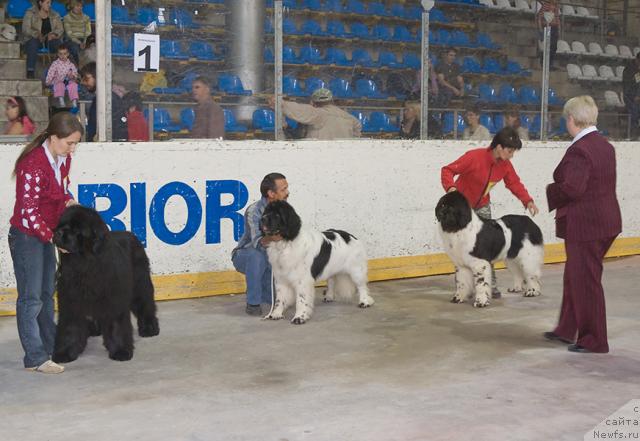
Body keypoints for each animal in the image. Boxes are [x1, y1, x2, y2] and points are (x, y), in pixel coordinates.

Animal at [51, 205, 159, 362]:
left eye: (77, 230)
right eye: (61, 225)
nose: (58, 232)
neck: (84, 266)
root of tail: (131, 235)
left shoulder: (114, 302)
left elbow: (116, 327)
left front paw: (120, 351)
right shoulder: (71, 302)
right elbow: (69, 328)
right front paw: (64, 352)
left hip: (140, 284)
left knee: (145, 304)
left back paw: (150, 328)